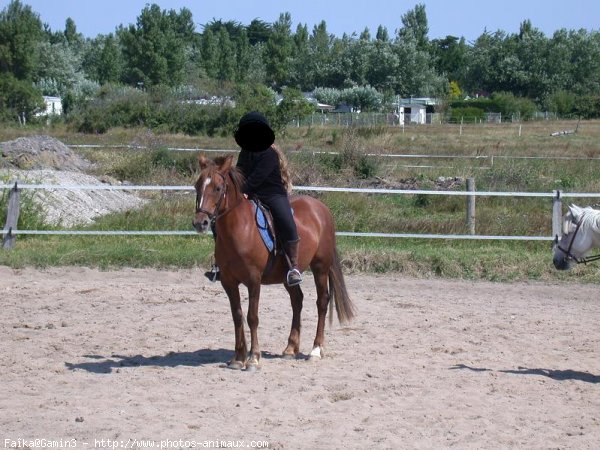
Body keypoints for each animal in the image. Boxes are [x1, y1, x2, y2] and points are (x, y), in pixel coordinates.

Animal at [192, 153, 354, 370]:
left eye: (218, 188)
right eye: (197, 186)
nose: (200, 223)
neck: (240, 229)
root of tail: (322, 209)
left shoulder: (254, 280)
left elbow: (252, 317)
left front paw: (253, 358)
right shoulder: (228, 282)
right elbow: (237, 316)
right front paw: (238, 358)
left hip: (320, 267)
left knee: (322, 302)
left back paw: (315, 350)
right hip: (288, 276)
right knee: (297, 301)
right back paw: (290, 348)